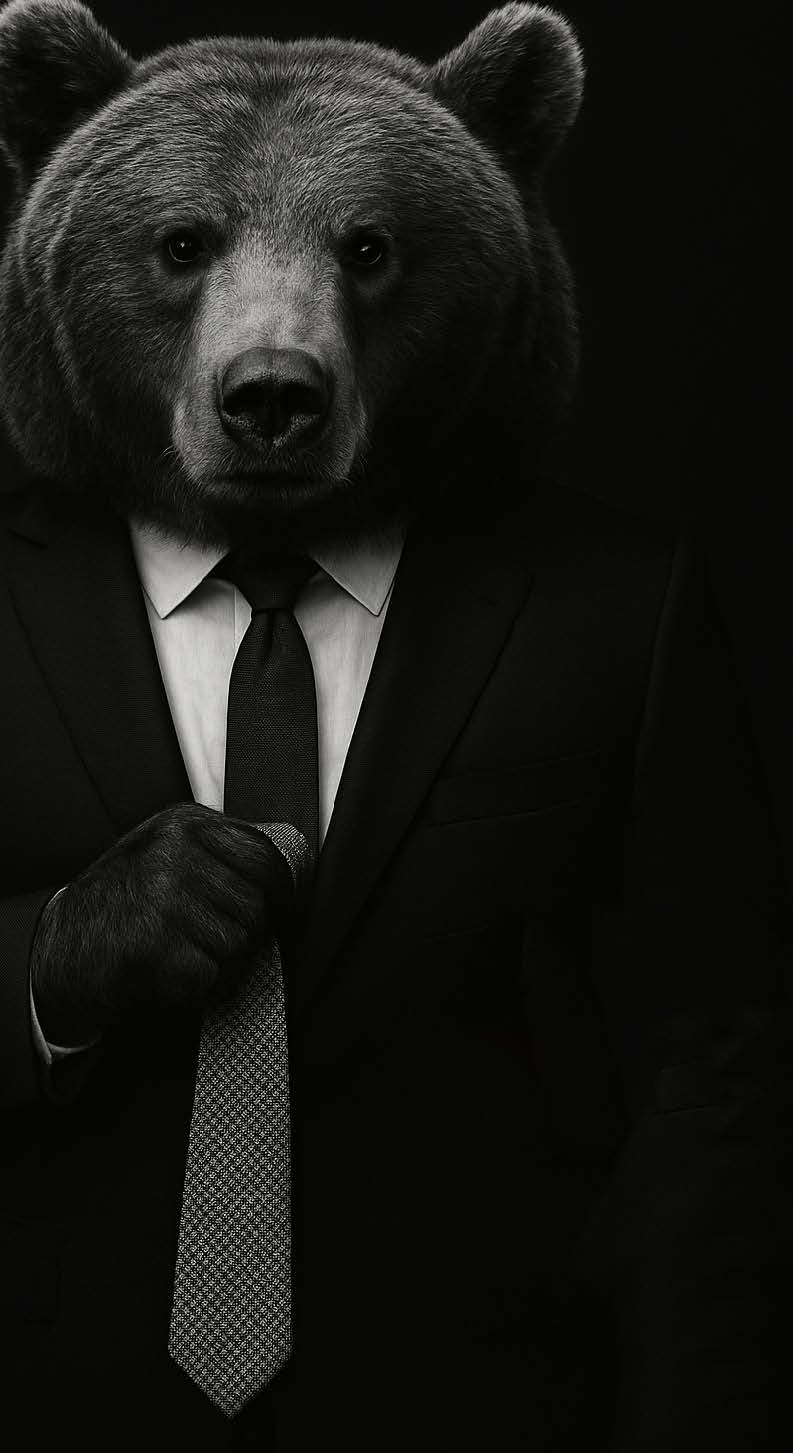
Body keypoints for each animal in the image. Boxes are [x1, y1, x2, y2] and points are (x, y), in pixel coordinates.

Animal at [0, 3, 787, 1452]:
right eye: (182, 239)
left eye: (369, 245)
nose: (270, 395)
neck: (267, 546)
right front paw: (177, 888)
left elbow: (697, 1020)